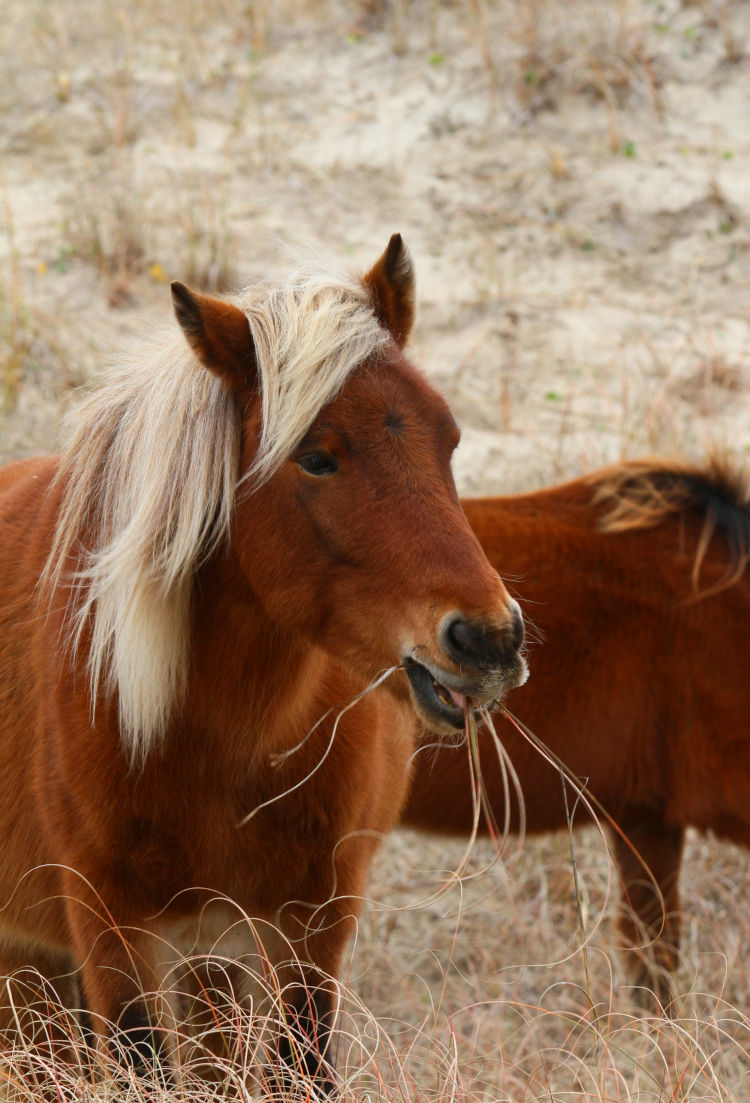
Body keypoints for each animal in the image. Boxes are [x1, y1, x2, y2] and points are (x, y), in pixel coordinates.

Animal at [0, 237, 525, 1089]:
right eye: (315, 458)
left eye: (447, 437)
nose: (490, 641)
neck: (223, 741)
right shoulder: (112, 935)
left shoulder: (309, 928)